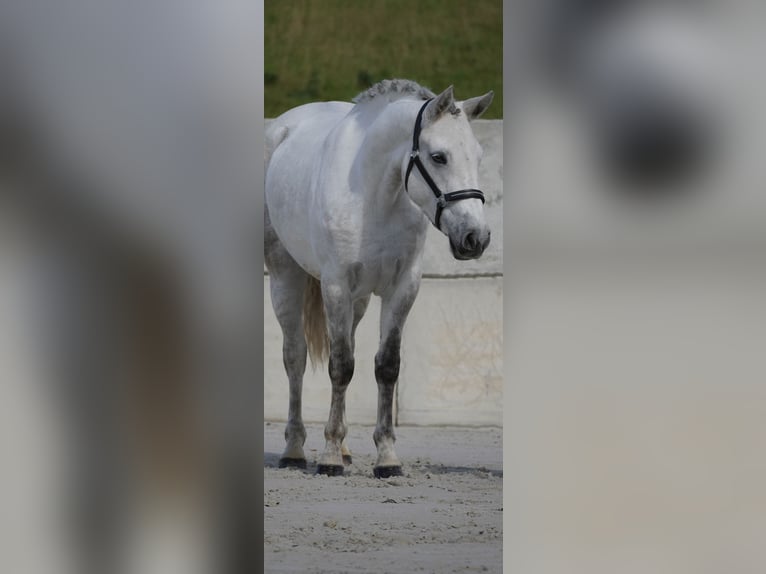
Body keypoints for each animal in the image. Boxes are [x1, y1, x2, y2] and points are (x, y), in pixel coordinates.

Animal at [268, 79, 496, 480]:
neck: (373, 196)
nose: (475, 238)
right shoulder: (335, 287)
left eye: (478, 156)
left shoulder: (402, 288)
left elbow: (386, 366)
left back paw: (344, 450)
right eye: (439, 156)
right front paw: (328, 457)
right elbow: (340, 366)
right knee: (295, 357)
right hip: (285, 277)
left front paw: (386, 457)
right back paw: (294, 449)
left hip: (358, 302)